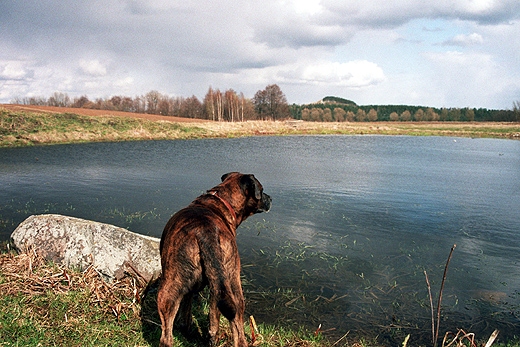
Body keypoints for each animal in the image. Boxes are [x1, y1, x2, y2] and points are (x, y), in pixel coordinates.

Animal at [157, 173, 272, 347]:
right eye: (262, 190)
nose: (270, 198)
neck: (221, 200)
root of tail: (206, 231)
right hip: (233, 285)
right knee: (238, 331)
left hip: (169, 289)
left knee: (166, 337)